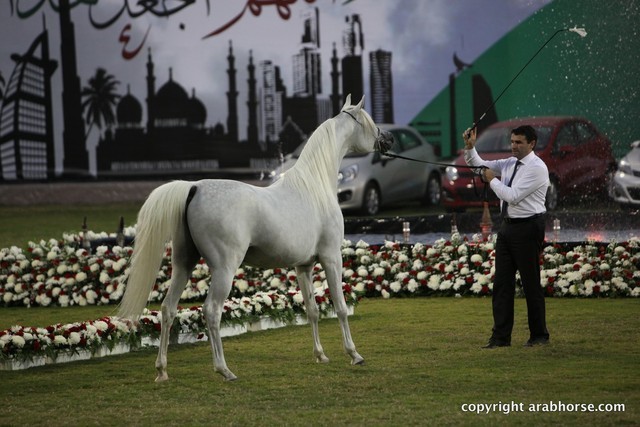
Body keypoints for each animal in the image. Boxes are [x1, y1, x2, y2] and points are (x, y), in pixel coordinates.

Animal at [117, 94, 393, 382]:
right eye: (369, 121)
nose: (388, 139)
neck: (314, 187)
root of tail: (194, 188)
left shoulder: (304, 266)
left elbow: (313, 310)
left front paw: (320, 355)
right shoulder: (331, 258)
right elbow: (339, 306)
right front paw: (354, 354)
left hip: (183, 263)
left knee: (168, 309)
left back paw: (162, 370)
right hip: (224, 269)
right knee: (211, 311)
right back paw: (224, 370)